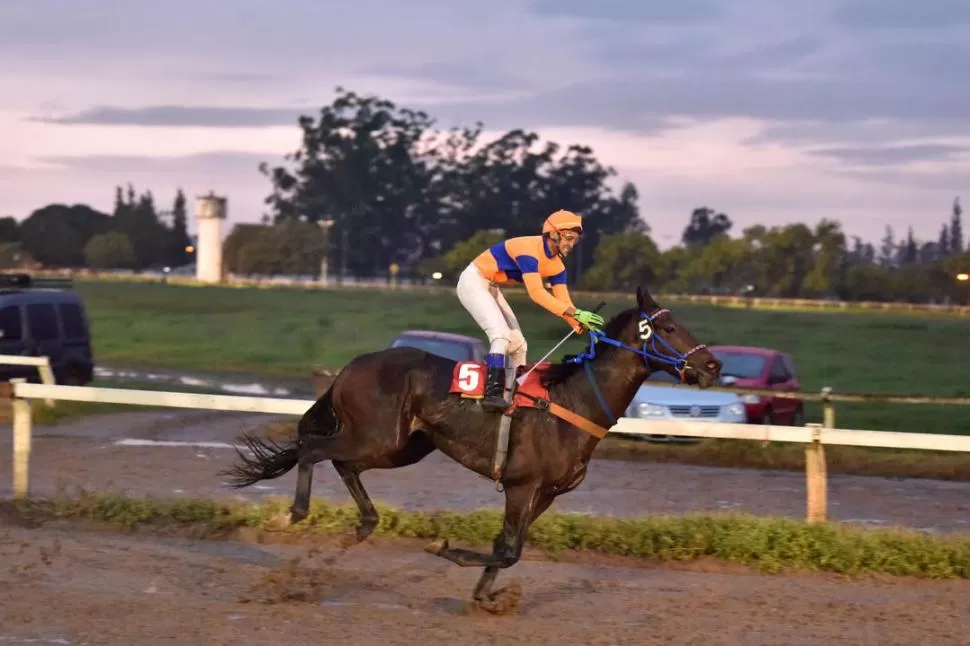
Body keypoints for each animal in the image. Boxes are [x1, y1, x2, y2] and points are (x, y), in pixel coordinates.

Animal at [219, 286, 720, 612]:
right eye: (669, 325)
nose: (713, 365)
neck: (572, 402)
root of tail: (350, 367)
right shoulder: (522, 484)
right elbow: (508, 549)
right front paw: (447, 549)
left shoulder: (545, 493)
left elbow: (508, 547)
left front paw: (486, 594)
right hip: (377, 435)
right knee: (310, 448)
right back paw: (291, 515)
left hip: (401, 446)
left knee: (342, 463)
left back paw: (365, 524)